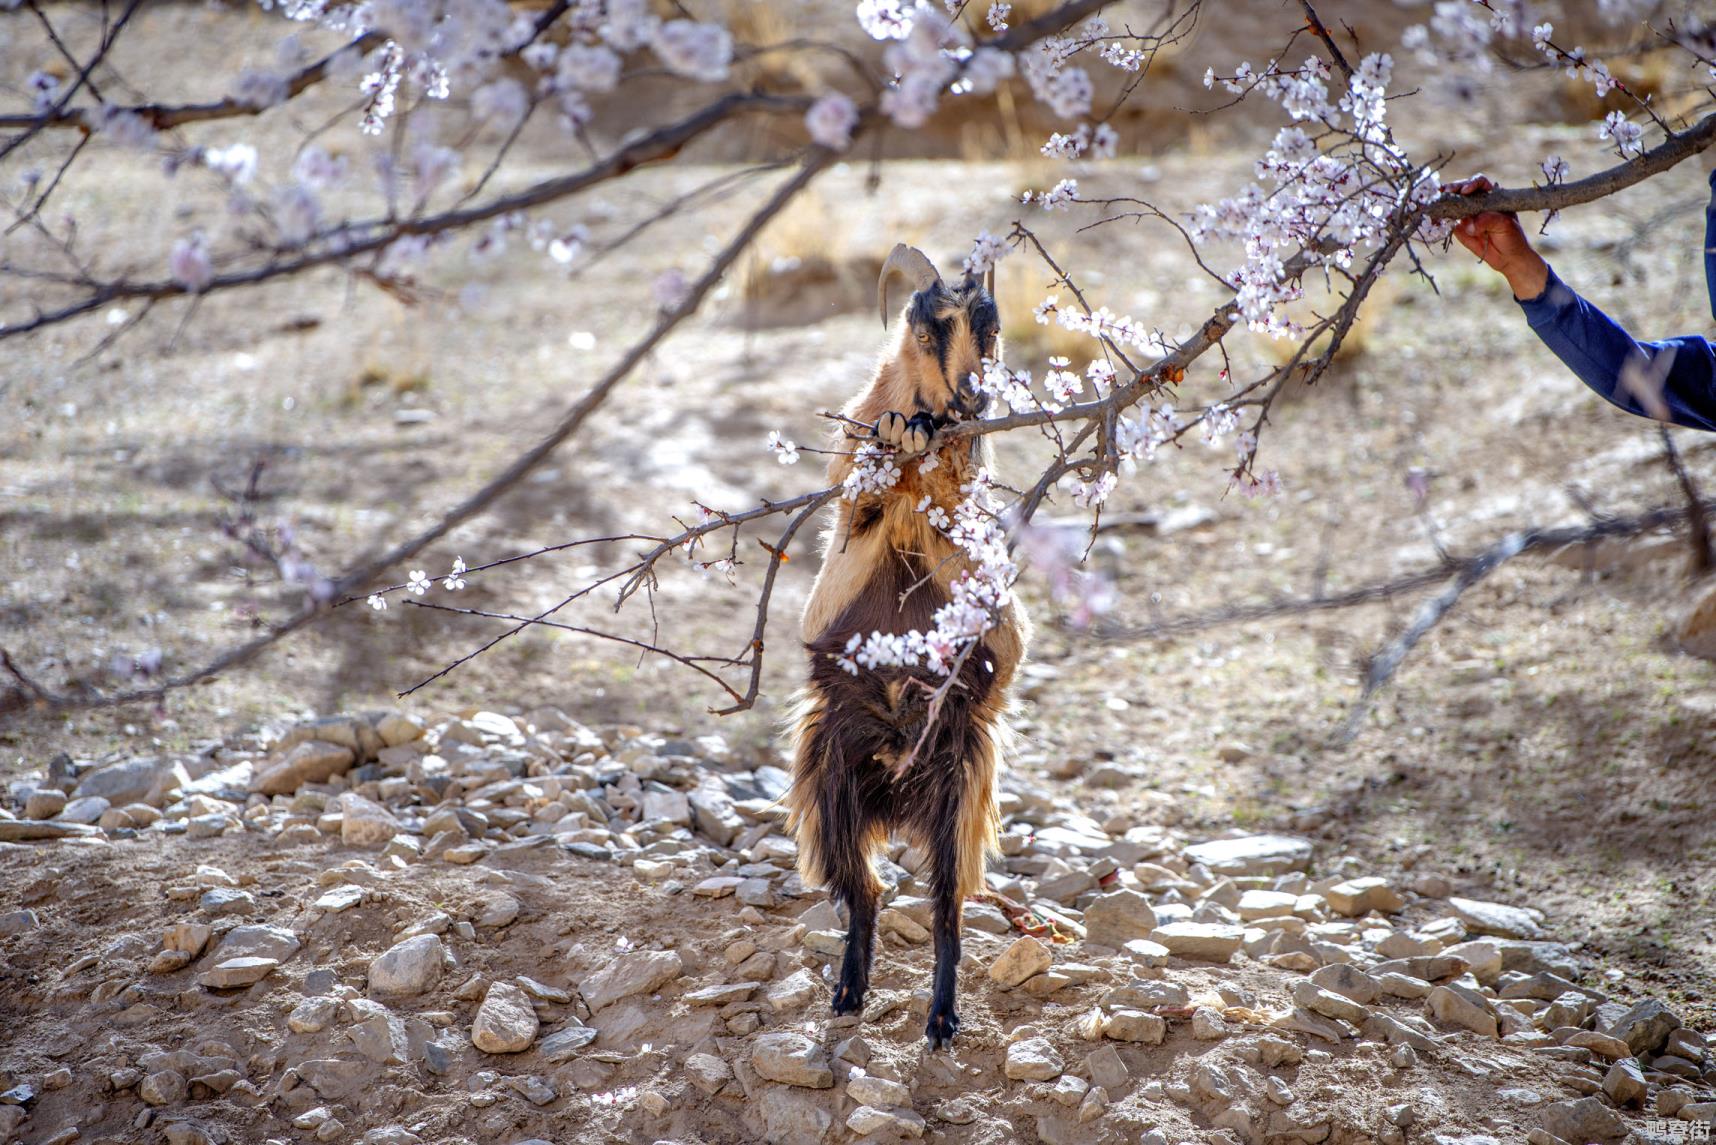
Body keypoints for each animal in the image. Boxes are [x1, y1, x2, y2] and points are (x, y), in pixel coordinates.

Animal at [782, 247, 1029, 1050]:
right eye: (926, 327)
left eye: (991, 326)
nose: (971, 397)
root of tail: (895, 775)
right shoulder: (850, 524)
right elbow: (861, 494)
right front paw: (899, 429)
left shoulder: (963, 532)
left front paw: (922, 434)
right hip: (827, 781)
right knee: (864, 889)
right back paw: (848, 993)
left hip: (959, 782)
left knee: (946, 901)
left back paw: (941, 1018)